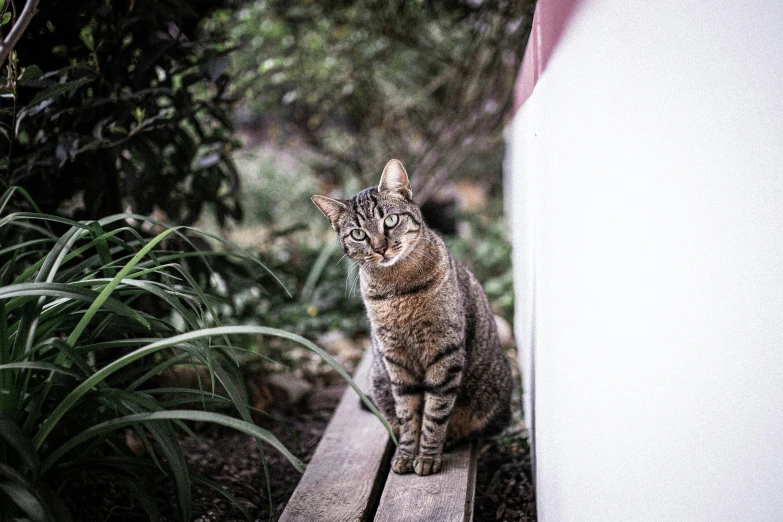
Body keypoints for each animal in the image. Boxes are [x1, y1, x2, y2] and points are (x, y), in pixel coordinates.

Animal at [312, 159, 516, 476]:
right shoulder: (396, 358)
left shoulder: (444, 352)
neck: (398, 289)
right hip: (379, 379)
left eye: (391, 220)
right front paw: (407, 453)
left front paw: (428, 455)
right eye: (358, 234)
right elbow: (408, 413)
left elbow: (435, 411)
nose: (380, 247)